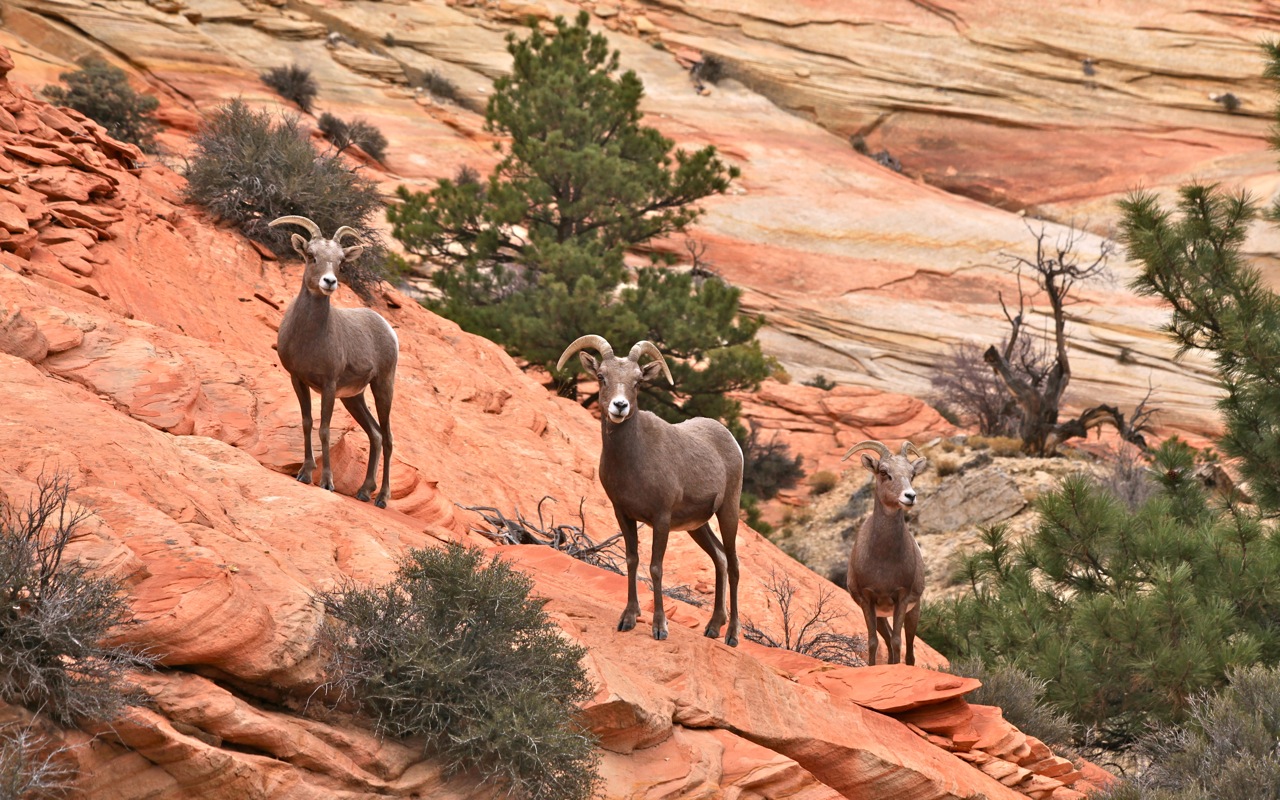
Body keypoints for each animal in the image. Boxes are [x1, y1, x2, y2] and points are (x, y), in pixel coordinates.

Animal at [266, 213, 394, 504]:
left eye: (340, 262)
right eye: (311, 256)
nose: (329, 282)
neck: (310, 338)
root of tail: (386, 327)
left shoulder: (329, 386)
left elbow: (324, 429)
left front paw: (326, 482)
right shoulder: (298, 380)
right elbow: (307, 423)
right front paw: (304, 473)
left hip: (382, 386)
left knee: (388, 437)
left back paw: (381, 497)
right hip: (353, 398)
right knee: (375, 434)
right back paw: (364, 491)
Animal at [555, 332, 747, 645]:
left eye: (637, 381)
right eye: (601, 376)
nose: (619, 406)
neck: (634, 460)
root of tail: (731, 440)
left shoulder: (661, 518)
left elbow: (656, 568)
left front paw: (659, 627)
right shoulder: (623, 514)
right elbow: (632, 560)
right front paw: (629, 618)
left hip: (728, 512)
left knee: (733, 563)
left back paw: (731, 635)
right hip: (698, 526)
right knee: (719, 558)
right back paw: (712, 628)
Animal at [839, 440, 931, 665]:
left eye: (912, 474)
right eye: (883, 472)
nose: (910, 496)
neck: (883, 561)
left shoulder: (902, 598)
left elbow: (898, 642)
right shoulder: (868, 600)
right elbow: (873, 642)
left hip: (913, 611)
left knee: (908, 652)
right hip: (882, 616)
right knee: (887, 642)